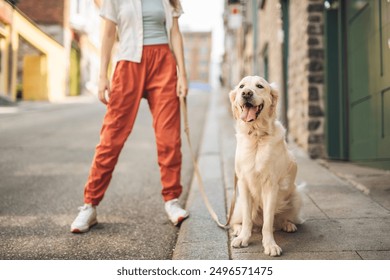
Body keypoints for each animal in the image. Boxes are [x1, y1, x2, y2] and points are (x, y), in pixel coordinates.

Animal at [230, 75, 304, 258]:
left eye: (259, 86)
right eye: (241, 86)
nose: (246, 93)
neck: (256, 135)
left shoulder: (270, 185)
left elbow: (268, 222)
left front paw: (270, 245)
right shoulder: (243, 183)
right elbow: (247, 220)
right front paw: (243, 238)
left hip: (297, 195)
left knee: (278, 220)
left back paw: (288, 224)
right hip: (239, 203)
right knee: (238, 221)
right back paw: (238, 231)